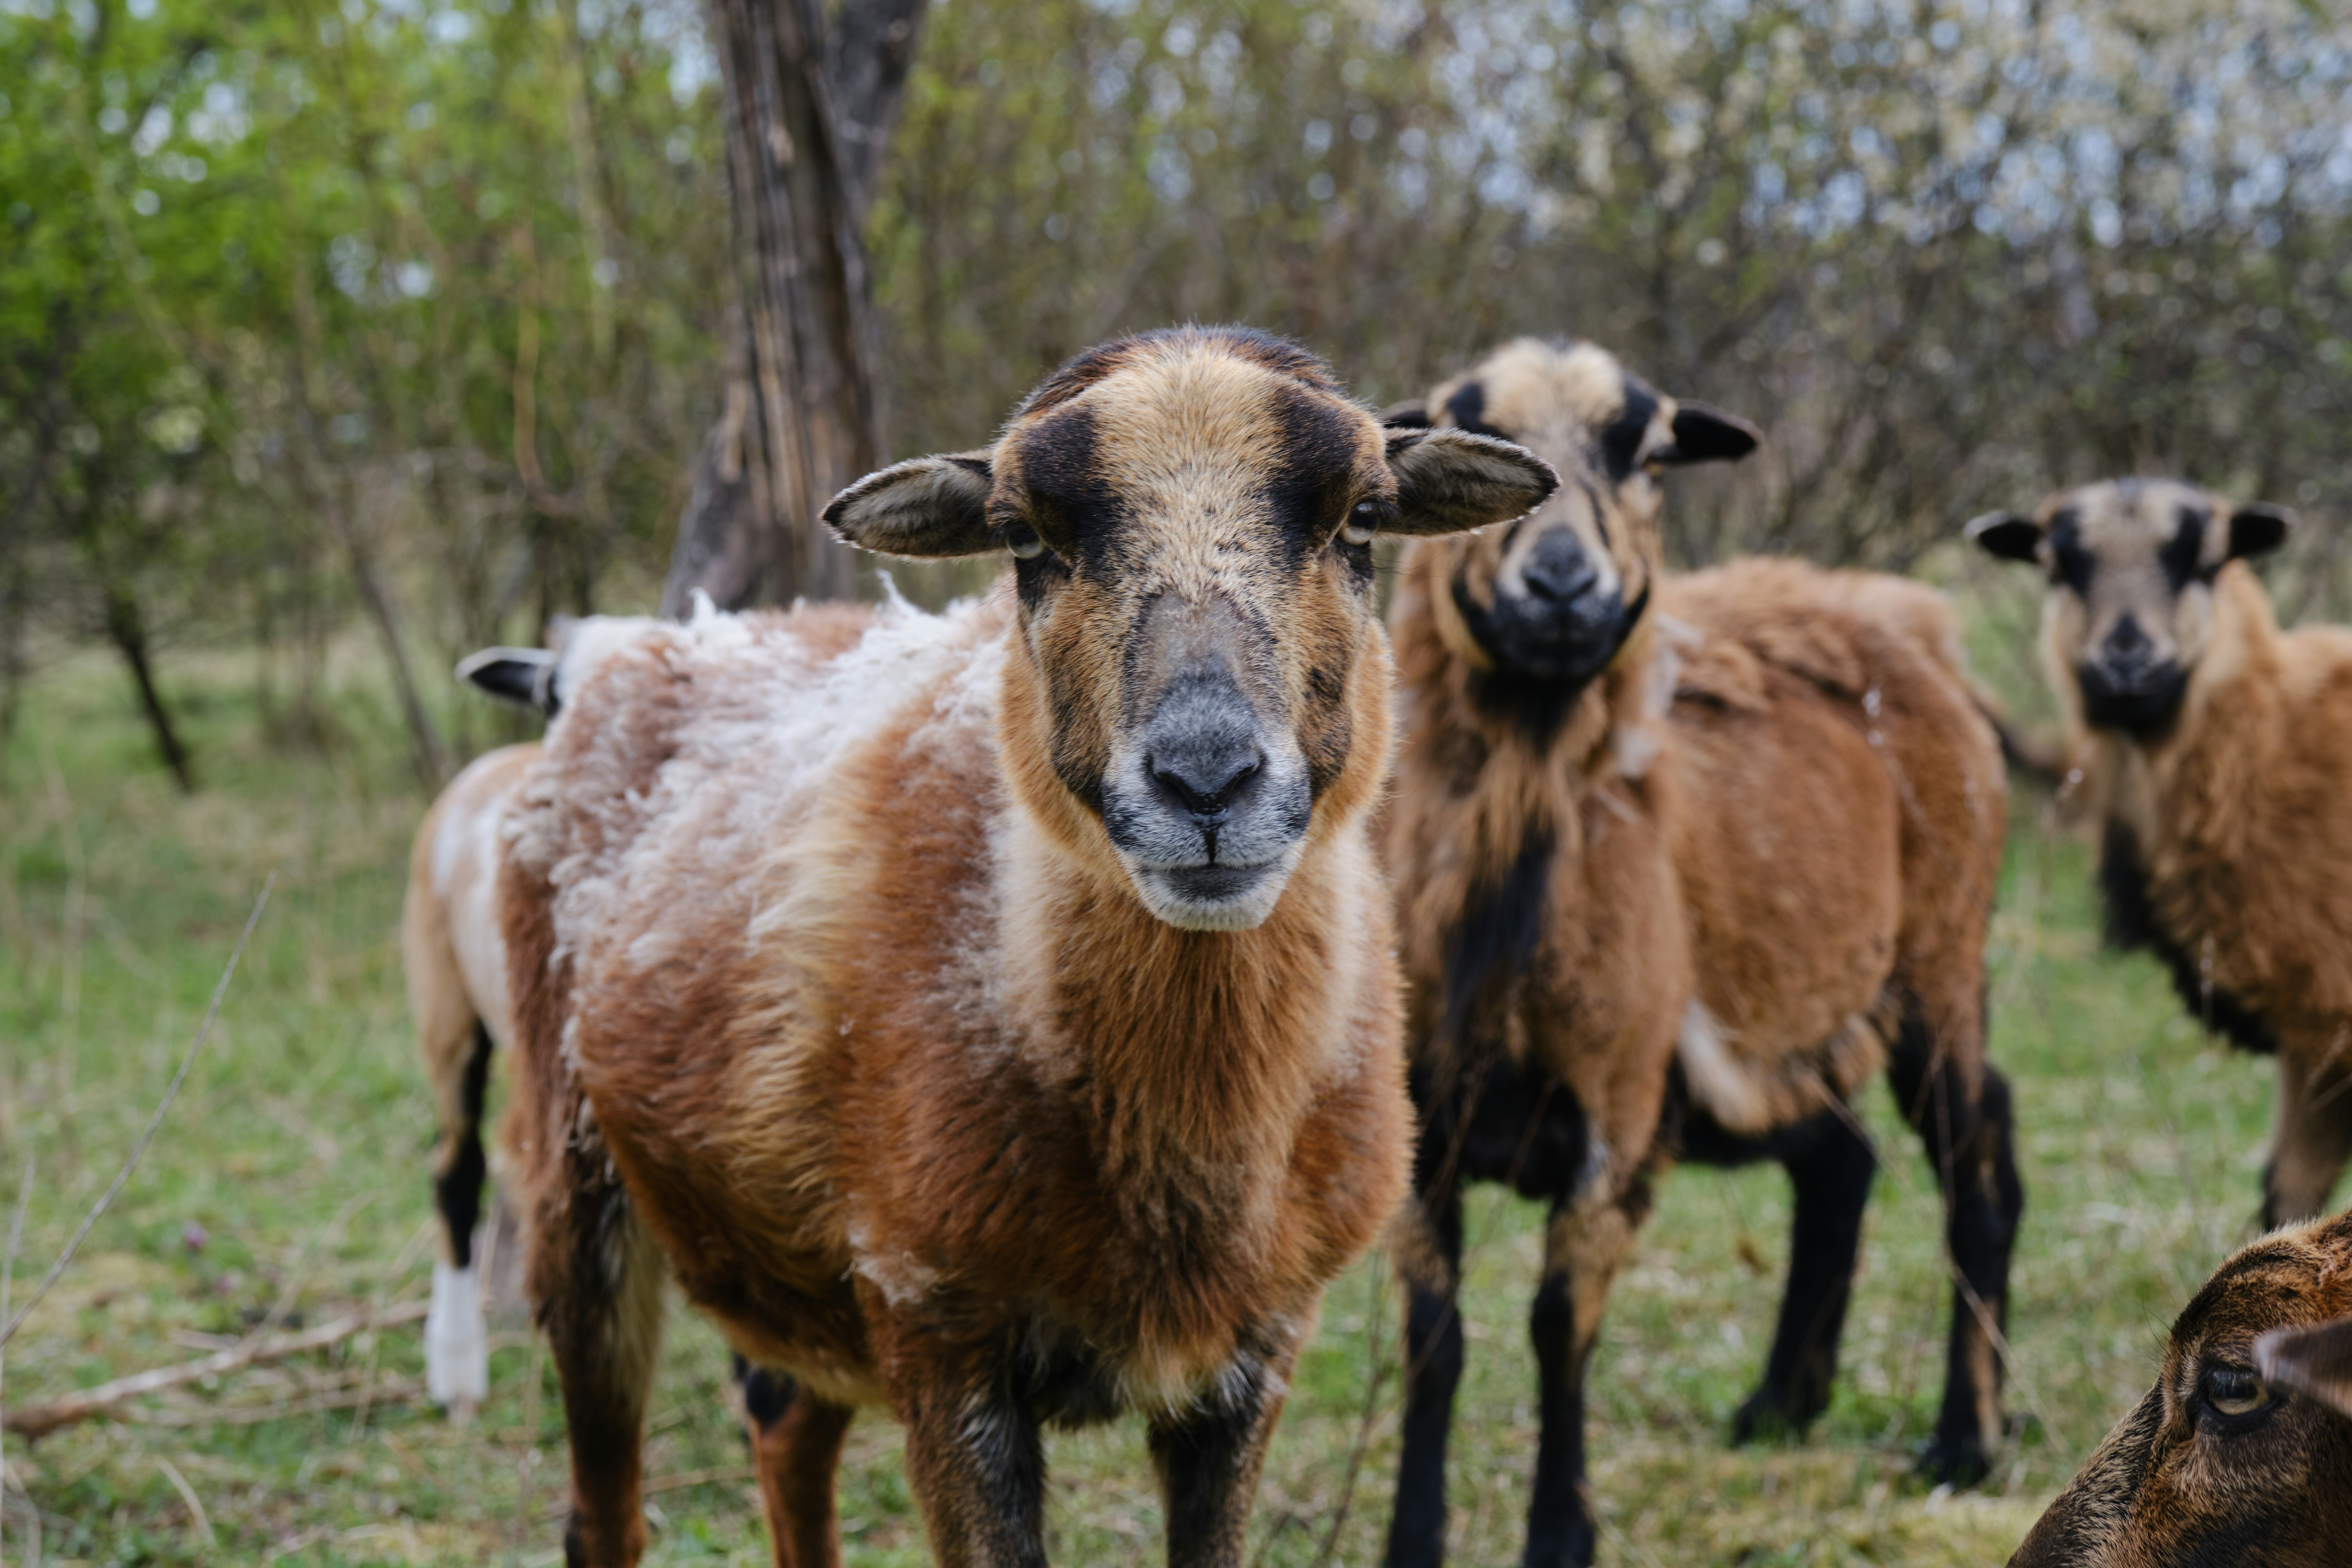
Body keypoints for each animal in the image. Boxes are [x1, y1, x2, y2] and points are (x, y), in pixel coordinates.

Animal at [491, 326, 1561, 1567]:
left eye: (1361, 520)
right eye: (1021, 537)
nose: (1207, 781)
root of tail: (680, 631)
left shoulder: (1254, 1355)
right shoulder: (936, 1330)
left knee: (787, 1431)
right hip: (575, 1180)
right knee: (602, 1510)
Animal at [1381, 337, 2020, 1568]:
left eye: (1648, 451)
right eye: (1474, 432)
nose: (1562, 586)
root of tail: (1903, 615)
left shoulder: (1621, 1105)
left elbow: (1556, 1323)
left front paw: (1559, 1530)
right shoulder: (1422, 1114)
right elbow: (1434, 1337)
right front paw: (1410, 1536)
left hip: (1935, 958)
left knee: (1974, 1162)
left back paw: (1963, 1438)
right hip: (1764, 1035)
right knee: (1849, 1160)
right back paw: (1784, 1404)